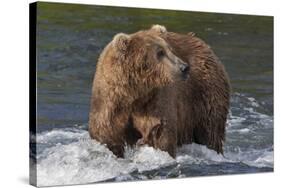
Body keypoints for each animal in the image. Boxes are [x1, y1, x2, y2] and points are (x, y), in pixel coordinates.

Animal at [88, 24, 230, 157]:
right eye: (160, 52)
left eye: (170, 49)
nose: (184, 67)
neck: (135, 93)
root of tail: (204, 45)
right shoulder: (109, 101)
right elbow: (106, 134)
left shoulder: (155, 99)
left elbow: (159, 133)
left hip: (204, 93)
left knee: (210, 131)